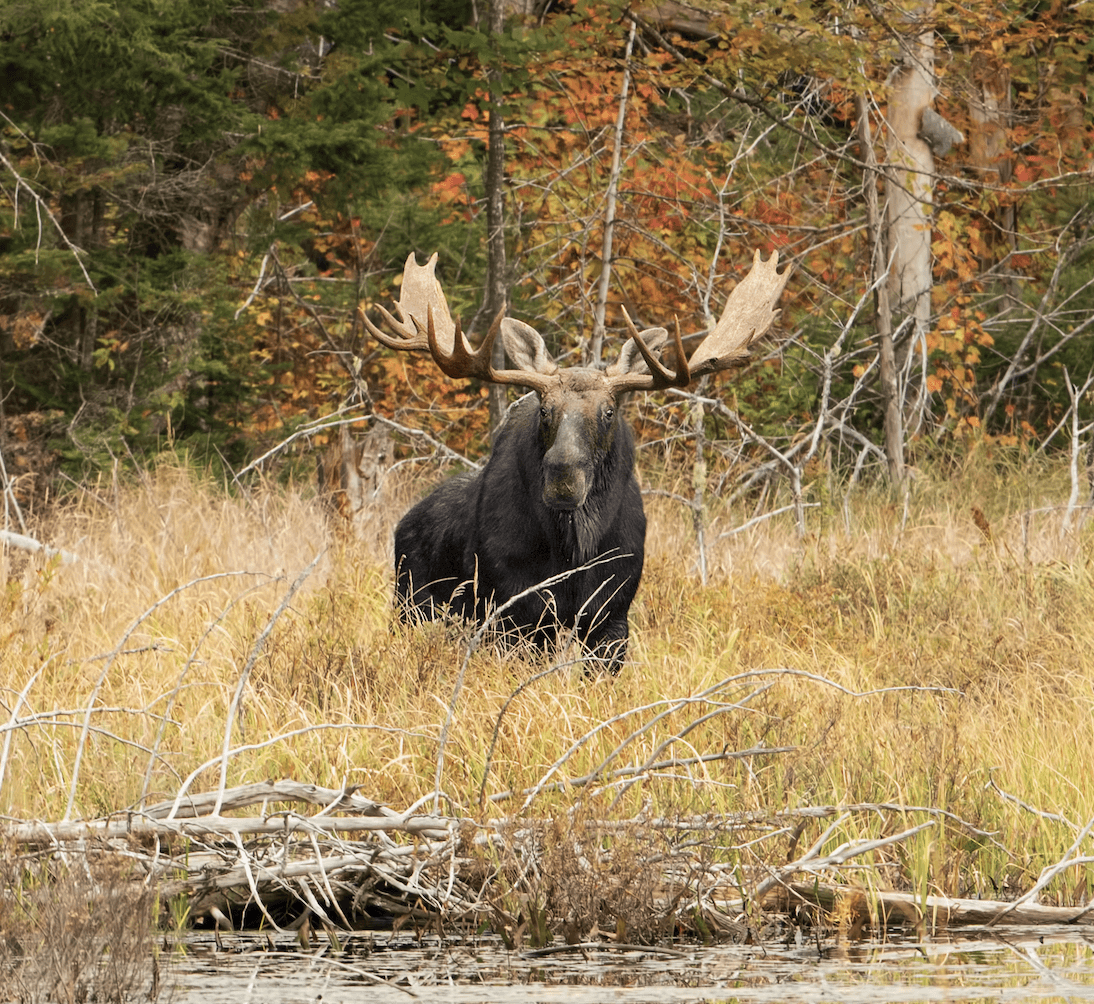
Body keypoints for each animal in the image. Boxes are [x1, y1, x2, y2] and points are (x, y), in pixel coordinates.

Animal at [364, 249, 789, 674]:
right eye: (545, 410)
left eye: (608, 411)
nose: (563, 477)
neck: (574, 548)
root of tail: (404, 523)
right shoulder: (516, 613)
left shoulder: (612, 614)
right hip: (411, 604)